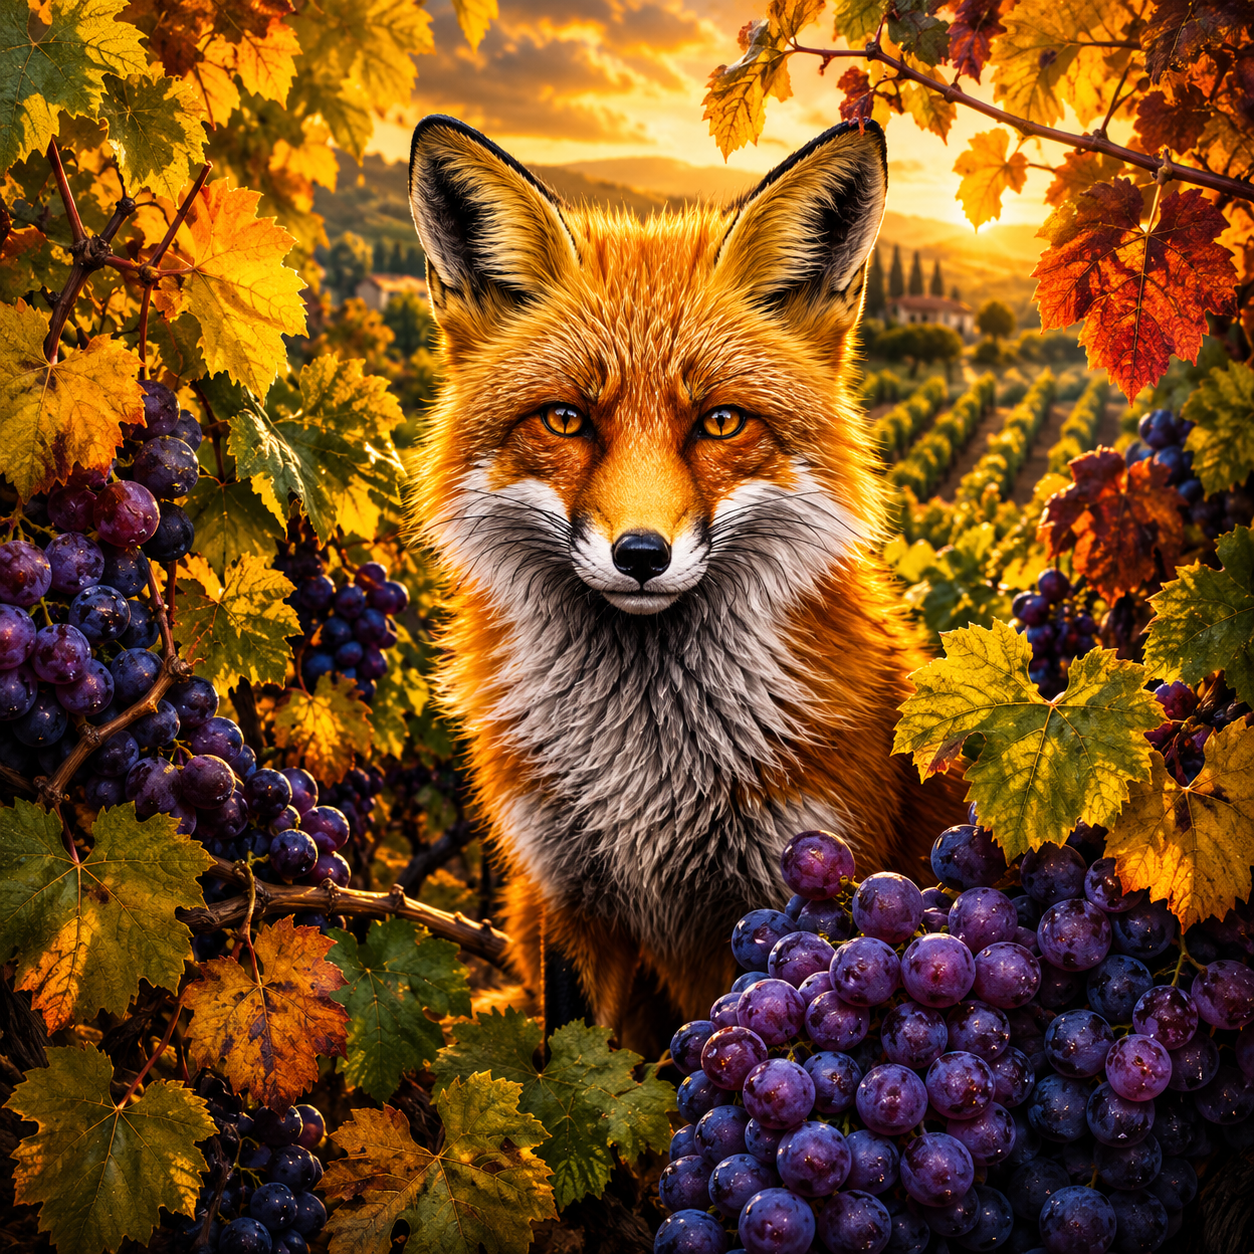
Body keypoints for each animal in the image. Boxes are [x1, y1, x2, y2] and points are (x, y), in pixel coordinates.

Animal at [404, 114, 966, 1051]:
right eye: (567, 419)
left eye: (721, 422)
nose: (641, 554)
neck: (647, 776)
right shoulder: (569, 897)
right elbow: (572, 1070)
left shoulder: (793, 885)